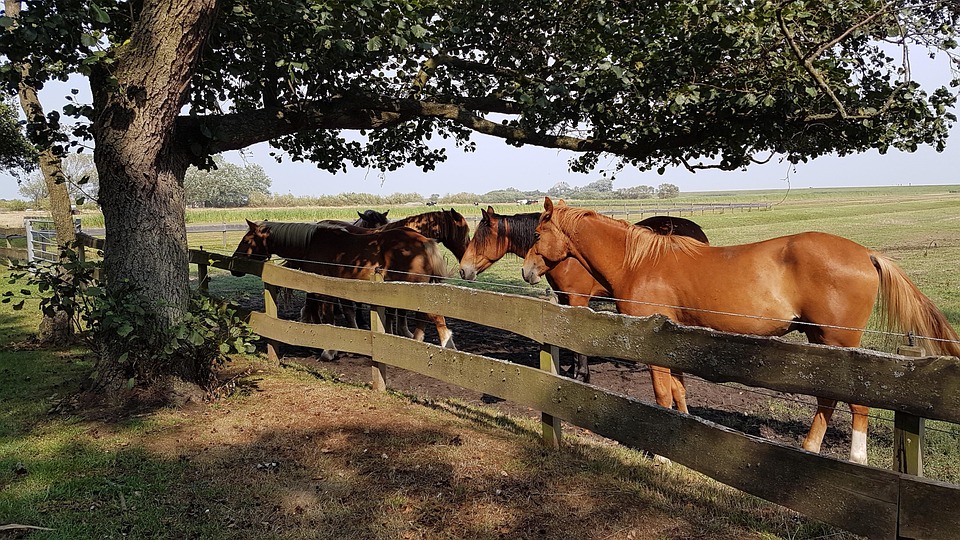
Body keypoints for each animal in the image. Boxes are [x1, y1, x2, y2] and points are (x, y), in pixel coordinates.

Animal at [232, 220, 455, 360]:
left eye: (247, 240)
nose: (234, 266)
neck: (311, 245)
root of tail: (424, 241)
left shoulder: (324, 292)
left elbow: (328, 319)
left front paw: (329, 351)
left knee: (434, 318)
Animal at [459, 205, 708, 382]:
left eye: (480, 238)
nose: (463, 270)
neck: (566, 256)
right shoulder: (564, 299)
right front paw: (572, 370)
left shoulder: (578, 299)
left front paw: (581, 375)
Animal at [521, 197, 960, 464]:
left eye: (538, 233)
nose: (526, 272)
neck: (640, 262)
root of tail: (866, 254)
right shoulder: (674, 340)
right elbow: (679, 391)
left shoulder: (652, 345)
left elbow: (662, 394)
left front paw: (661, 452)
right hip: (820, 340)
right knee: (827, 399)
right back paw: (810, 448)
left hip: (842, 343)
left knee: (857, 404)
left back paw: (856, 459)